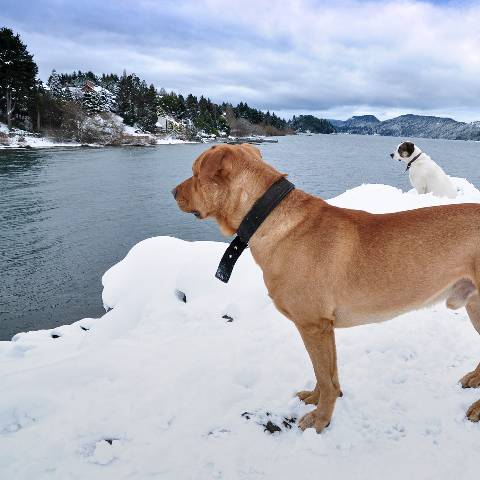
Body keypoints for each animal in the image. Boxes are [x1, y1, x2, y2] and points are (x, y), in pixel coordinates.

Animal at [173, 144, 480, 433]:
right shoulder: (322, 328)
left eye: (195, 173)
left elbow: (325, 376)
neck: (268, 216)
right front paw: (315, 399)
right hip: (474, 305)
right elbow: (325, 374)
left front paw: (320, 419)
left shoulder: (313, 325)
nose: (173, 192)